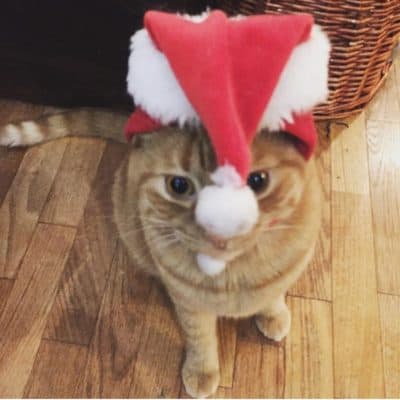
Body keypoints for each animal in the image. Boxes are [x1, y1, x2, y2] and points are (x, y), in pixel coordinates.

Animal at [0, 108, 320, 398]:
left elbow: (274, 291)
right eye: (178, 185)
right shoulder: (188, 301)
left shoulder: (291, 264)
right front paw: (202, 371)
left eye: (257, 181)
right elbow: (200, 337)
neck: (232, 271)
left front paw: (273, 313)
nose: (218, 229)